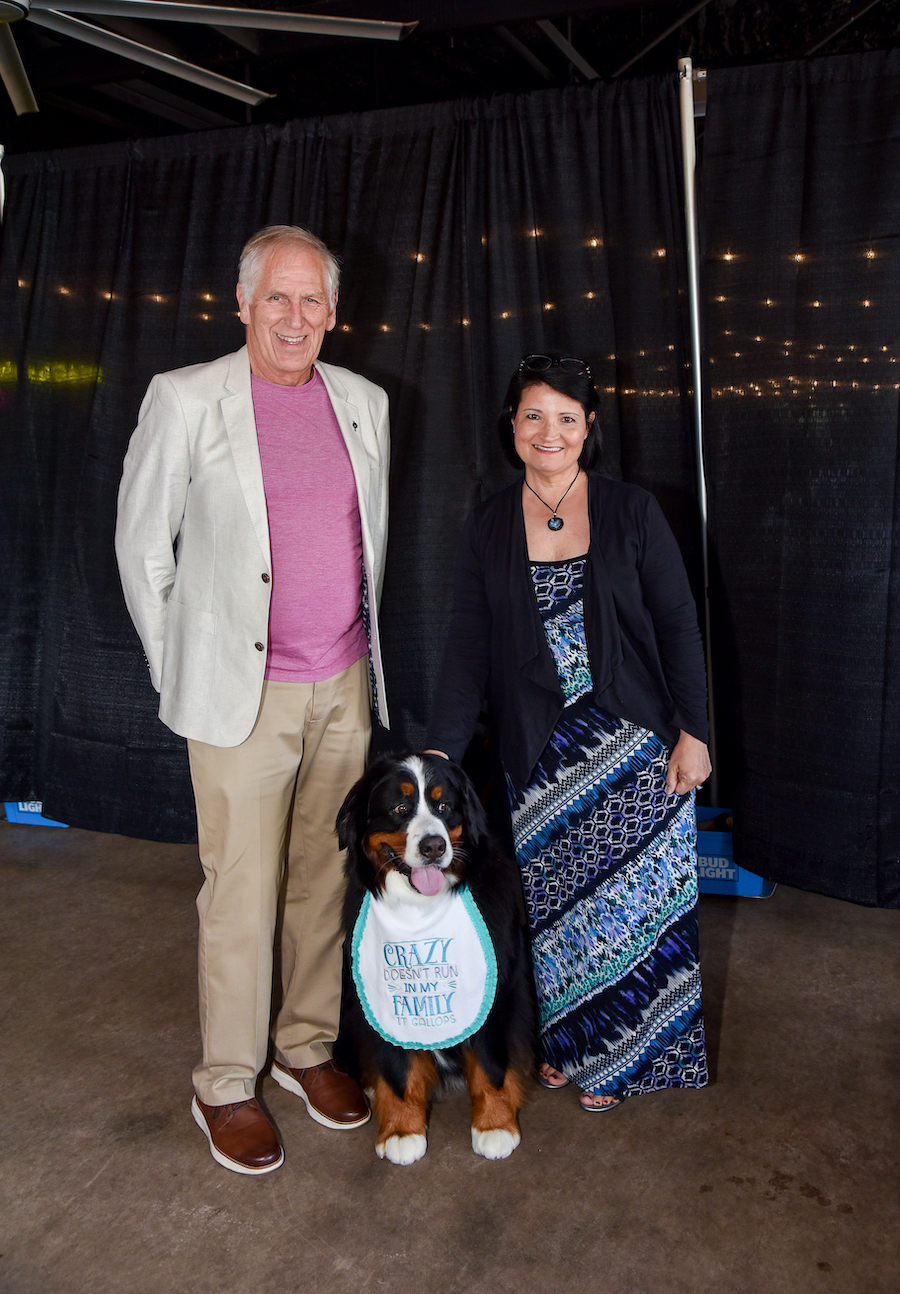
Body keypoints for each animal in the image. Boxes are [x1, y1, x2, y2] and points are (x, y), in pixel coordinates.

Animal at [336, 755, 535, 1169]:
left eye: (444, 807)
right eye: (400, 809)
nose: (433, 846)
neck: (420, 910)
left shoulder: (496, 988)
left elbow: (490, 1064)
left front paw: (494, 1125)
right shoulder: (382, 995)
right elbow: (397, 1067)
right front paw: (401, 1130)